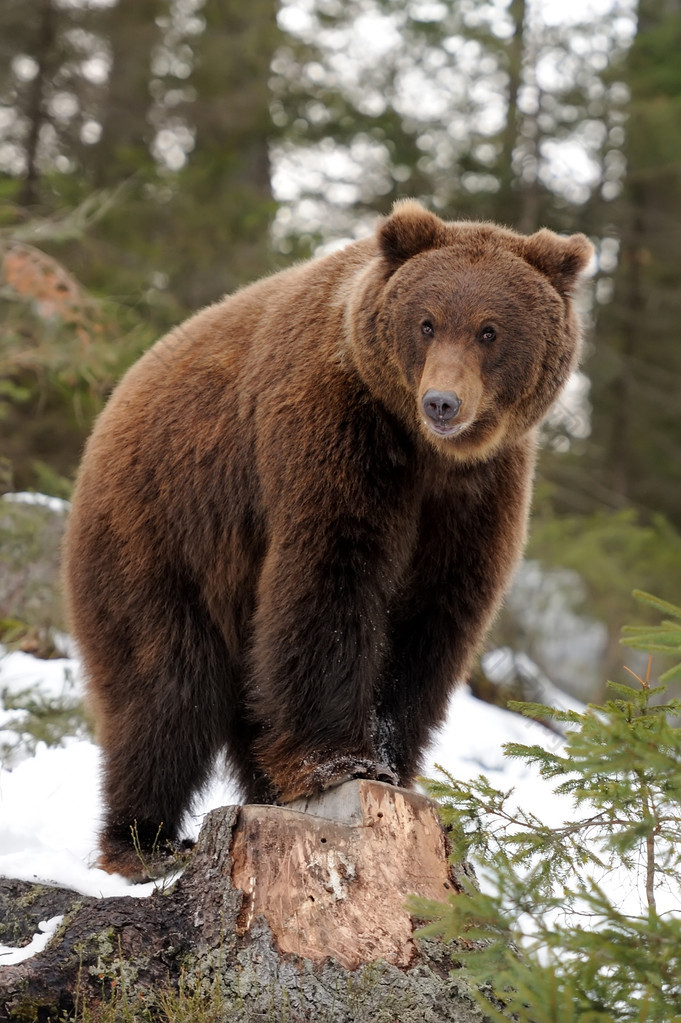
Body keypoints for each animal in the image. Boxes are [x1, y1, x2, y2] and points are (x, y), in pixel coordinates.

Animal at [66, 199, 593, 879]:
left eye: (490, 330)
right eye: (426, 322)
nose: (442, 402)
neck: (423, 453)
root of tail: (107, 414)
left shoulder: (479, 495)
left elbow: (432, 619)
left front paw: (392, 763)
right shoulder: (334, 430)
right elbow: (332, 578)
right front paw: (340, 761)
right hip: (158, 535)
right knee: (166, 692)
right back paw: (143, 841)